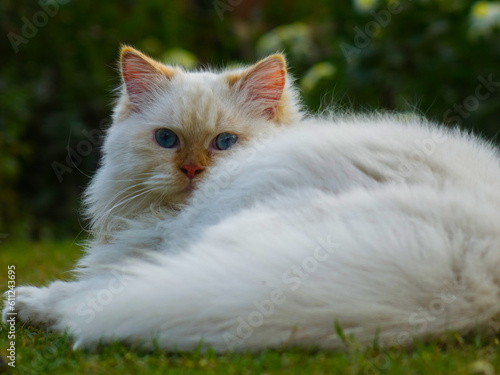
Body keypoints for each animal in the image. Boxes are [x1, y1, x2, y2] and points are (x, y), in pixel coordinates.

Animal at [3, 48, 500, 354]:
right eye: (166, 139)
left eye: (225, 142)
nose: (192, 170)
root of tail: (473, 263)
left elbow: (86, 287)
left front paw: (23, 300)